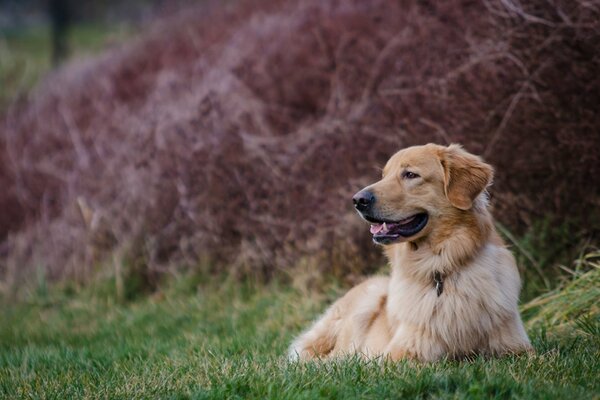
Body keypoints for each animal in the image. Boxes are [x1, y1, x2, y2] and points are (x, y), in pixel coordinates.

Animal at [288, 142, 532, 360]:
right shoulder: (401, 353)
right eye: (384, 175)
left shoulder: (518, 348)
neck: (440, 267)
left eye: (410, 175)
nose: (358, 200)